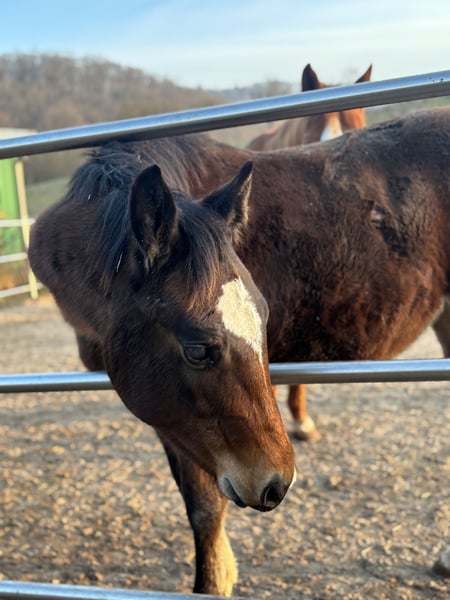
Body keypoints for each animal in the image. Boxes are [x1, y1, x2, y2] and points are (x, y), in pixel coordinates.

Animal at [29, 106, 450, 596]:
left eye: (263, 317)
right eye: (197, 350)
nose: (276, 483)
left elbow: (206, 506)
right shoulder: (172, 415)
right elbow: (201, 504)